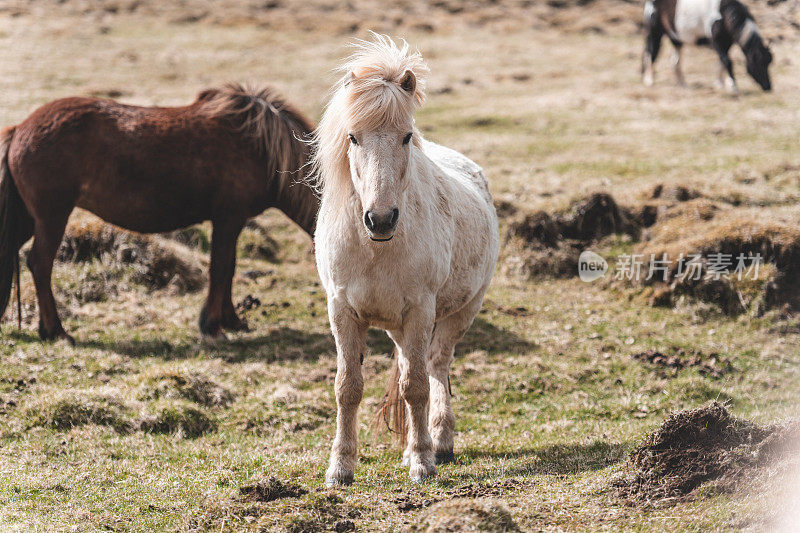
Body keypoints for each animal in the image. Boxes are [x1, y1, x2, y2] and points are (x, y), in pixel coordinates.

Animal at [0, 82, 318, 340]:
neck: (262, 147)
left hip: (28, 219)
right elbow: (220, 269)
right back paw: (56, 331)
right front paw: (213, 326)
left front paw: (232, 321)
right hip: (52, 217)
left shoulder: (234, 222)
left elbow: (230, 268)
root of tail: (20, 130)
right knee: (41, 264)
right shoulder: (228, 219)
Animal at [310, 32, 494, 482]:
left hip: (459, 313)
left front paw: (424, 462)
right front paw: (340, 467)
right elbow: (348, 387)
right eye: (353, 137)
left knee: (436, 367)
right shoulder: (342, 310)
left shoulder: (420, 311)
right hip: (398, 326)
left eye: (406, 136)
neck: (377, 249)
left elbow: (416, 386)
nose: (380, 219)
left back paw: (438, 441)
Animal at [644, 0, 776, 91]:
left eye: (768, 63)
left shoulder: (727, 44)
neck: (723, 13)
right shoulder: (717, 43)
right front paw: (733, 86)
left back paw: (683, 85)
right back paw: (649, 81)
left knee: (675, 62)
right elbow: (727, 61)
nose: (768, 87)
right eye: (759, 63)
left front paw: (721, 84)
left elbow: (722, 62)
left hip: (676, 39)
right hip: (655, 33)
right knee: (651, 53)